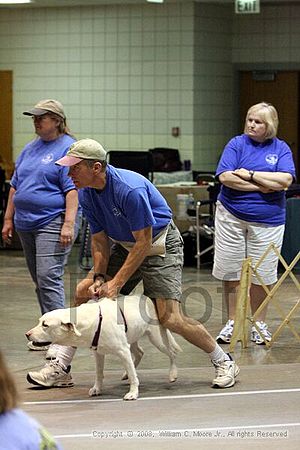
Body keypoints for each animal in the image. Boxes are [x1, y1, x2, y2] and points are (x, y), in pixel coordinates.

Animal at [25, 296, 180, 400]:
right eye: (40, 322)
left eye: (45, 325)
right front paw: (97, 389)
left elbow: (133, 375)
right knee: (139, 353)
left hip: (156, 338)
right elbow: (99, 373)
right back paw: (126, 373)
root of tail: (148, 299)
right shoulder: (98, 353)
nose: (27, 334)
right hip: (132, 337)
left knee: (172, 353)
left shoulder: (123, 350)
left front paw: (133, 393)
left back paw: (172, 374)